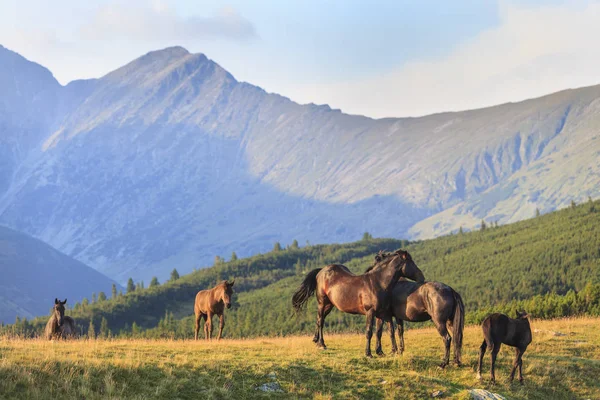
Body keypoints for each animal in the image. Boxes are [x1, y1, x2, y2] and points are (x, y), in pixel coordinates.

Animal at [292, 250, 424, 356]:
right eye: (411, 262)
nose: (421, 277)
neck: (378, 283)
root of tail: (321, 271)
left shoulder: (381, 314)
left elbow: (380, 332)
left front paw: (380, 352)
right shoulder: (370, 312)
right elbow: (369, 332)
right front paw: (368, 353)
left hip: (329, 305)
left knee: (320, 319)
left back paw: (315, 340)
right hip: (322, 303)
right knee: (320, 321)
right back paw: (322, 344)